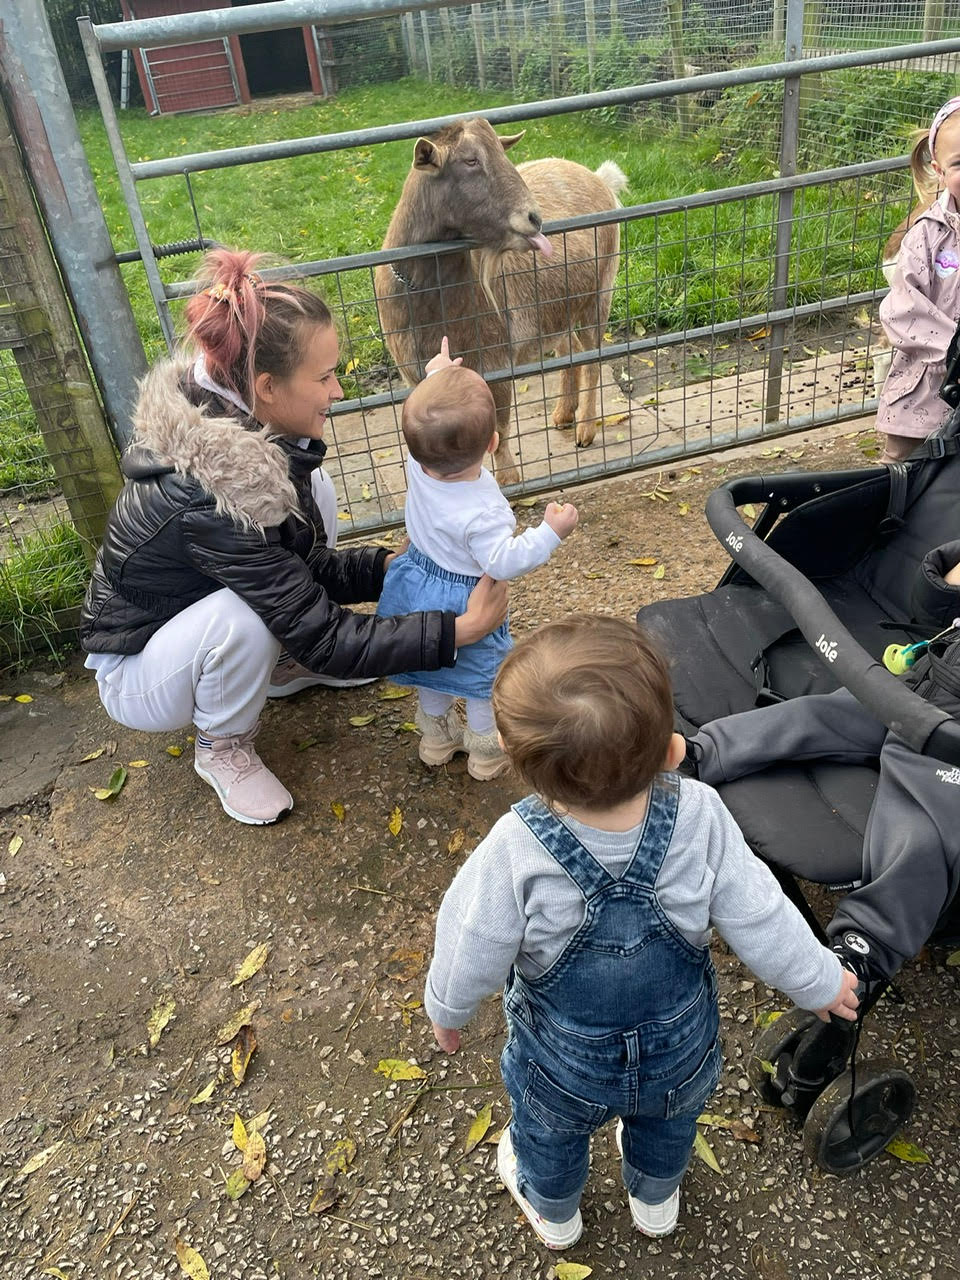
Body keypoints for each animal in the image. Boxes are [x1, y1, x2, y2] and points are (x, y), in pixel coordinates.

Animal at [371, 120, 627, 483]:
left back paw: (586, 430)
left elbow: (500, 428)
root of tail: (598, 177)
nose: (534, 218)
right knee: (570, 349)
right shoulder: (413, 373)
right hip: (557, 309)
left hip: (600, 290)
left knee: (593, 359)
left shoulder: (495, 361)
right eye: (470, 160)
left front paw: (508, 480)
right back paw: (564, 413)